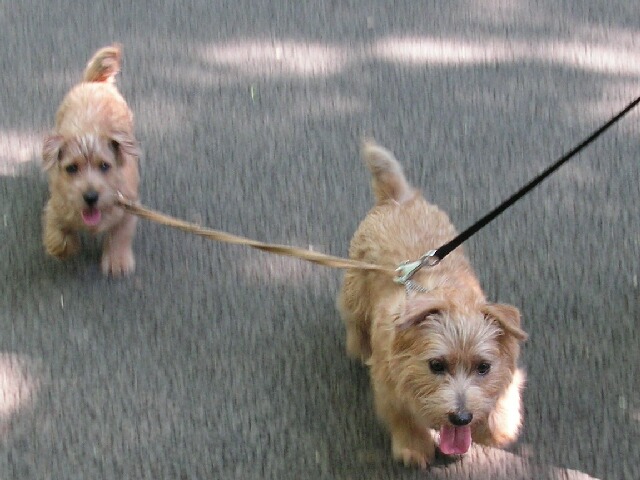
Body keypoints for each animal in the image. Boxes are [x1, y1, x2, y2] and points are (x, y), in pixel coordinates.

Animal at [42, 44, 140, 276]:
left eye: (105, 165)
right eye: (71, 168)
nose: (90, 196)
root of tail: (95, 82)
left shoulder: (129, 208)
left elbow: (120, 233)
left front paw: (117, 260)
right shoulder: (56, 205)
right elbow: (56, 226)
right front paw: (61, 246)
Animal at [338, 140, 527, 468]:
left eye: (484, 367)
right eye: (436, 365)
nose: (461, 417)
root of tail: (399, 198)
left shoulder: (508, 370)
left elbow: (504, 396)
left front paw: (496, 429)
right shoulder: (389, 388)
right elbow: (404, 418)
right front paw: (414, 448)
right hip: (355, 284)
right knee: (353, 315)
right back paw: (359, 345)